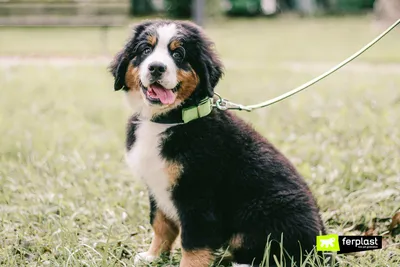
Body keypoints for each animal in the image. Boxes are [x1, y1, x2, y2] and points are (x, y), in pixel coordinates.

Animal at [109, 19, 328, 266]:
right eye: (145, 50)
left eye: (178, 54)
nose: (156, 67)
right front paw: (153, 256)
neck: (167, 121)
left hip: (265, 208)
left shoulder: (198, 195)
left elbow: (193, 243)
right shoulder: (155, 186)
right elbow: (161, 224)